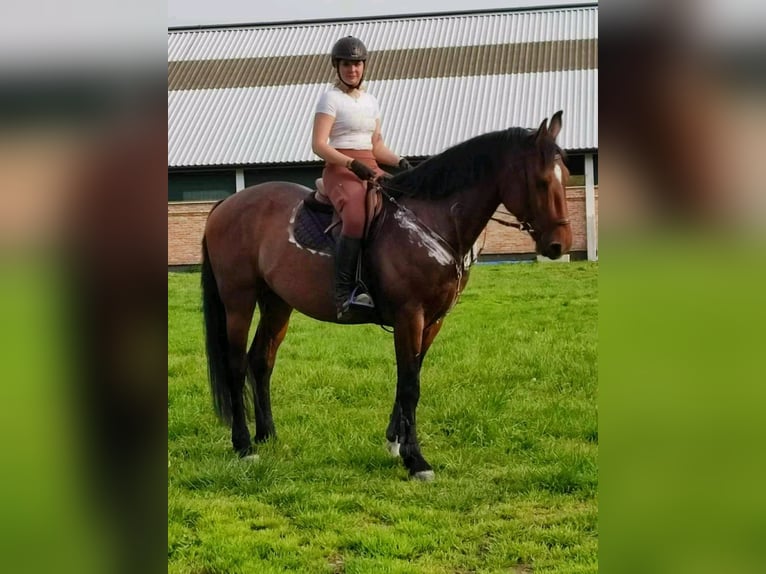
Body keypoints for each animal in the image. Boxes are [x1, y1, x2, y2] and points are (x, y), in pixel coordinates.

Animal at [200, 111, 572, 481]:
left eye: (566, 176)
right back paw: (244, 446)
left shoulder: (433, 320)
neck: (432, 221)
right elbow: (409, 384)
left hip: (277, 303)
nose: (560, 245)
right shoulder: (410, 316)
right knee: (235, 364)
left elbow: (411, 375)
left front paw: (395, 443)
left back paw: (268, 436)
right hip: (239, 300)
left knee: (261, 361)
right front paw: (416, 460)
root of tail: (226, 204)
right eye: (541, 181)